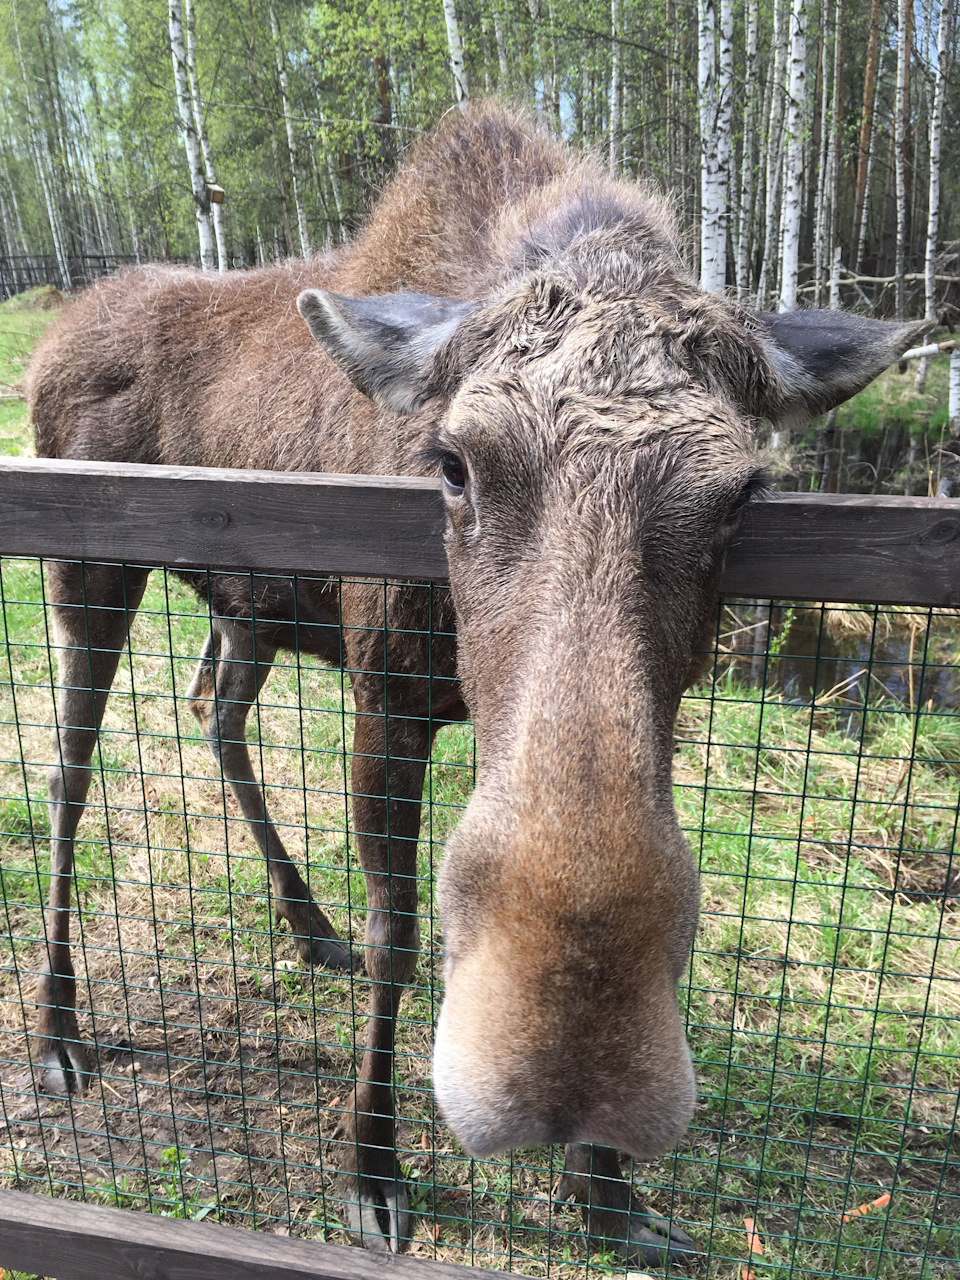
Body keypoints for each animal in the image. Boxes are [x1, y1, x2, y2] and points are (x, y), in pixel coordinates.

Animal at [28, 107, 926, 1259]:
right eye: (452, 463)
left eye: (742, 492)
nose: (570, 1052)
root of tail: (52, 335)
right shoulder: (386, 693)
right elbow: (400, 934)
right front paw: (373, 1168)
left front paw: (611, 1192)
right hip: (90, 570)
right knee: (68, 772)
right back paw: (59, 1028)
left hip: (251, 603)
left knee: (214, 714)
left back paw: (303, 921)